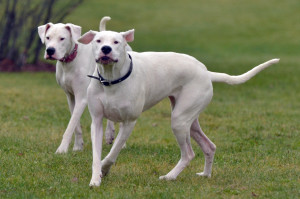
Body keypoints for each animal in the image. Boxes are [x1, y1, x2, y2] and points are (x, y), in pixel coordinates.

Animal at [37, 17, 118, 154]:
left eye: (62, 38)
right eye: (47, 37)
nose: (50, 50)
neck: (70, 61)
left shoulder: (82, 98)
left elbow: (70, 126)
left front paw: (62, 149)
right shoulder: (70, 97)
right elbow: (76, 125)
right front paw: (78, 146)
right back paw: (109, 133)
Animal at [77, 28, 278, 187]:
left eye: (116, 42)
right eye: (98, 41)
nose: (106, 49)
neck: (112, 79)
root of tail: (206, 72)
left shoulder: (129, 123)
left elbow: (113, 152)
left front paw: (105, 169)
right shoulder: (97, 122)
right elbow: (96, 155)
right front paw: (96, 178)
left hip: (179, 120)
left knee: (188, 154)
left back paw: (170, 176)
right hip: (189, 120)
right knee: (209, 146)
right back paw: (205, 174)